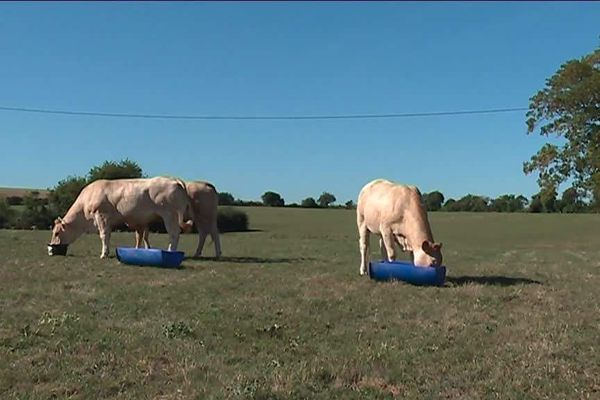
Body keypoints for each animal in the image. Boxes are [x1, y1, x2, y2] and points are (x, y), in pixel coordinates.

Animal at [51, 177, 195, 258]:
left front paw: (103, 254)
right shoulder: (108, 221)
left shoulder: (101, 216)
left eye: (57, 233)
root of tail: (174, 179)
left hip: (170, 215)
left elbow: (103, 235)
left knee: (174, 234)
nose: (51, 249)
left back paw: (171, 251)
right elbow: (109, 235)